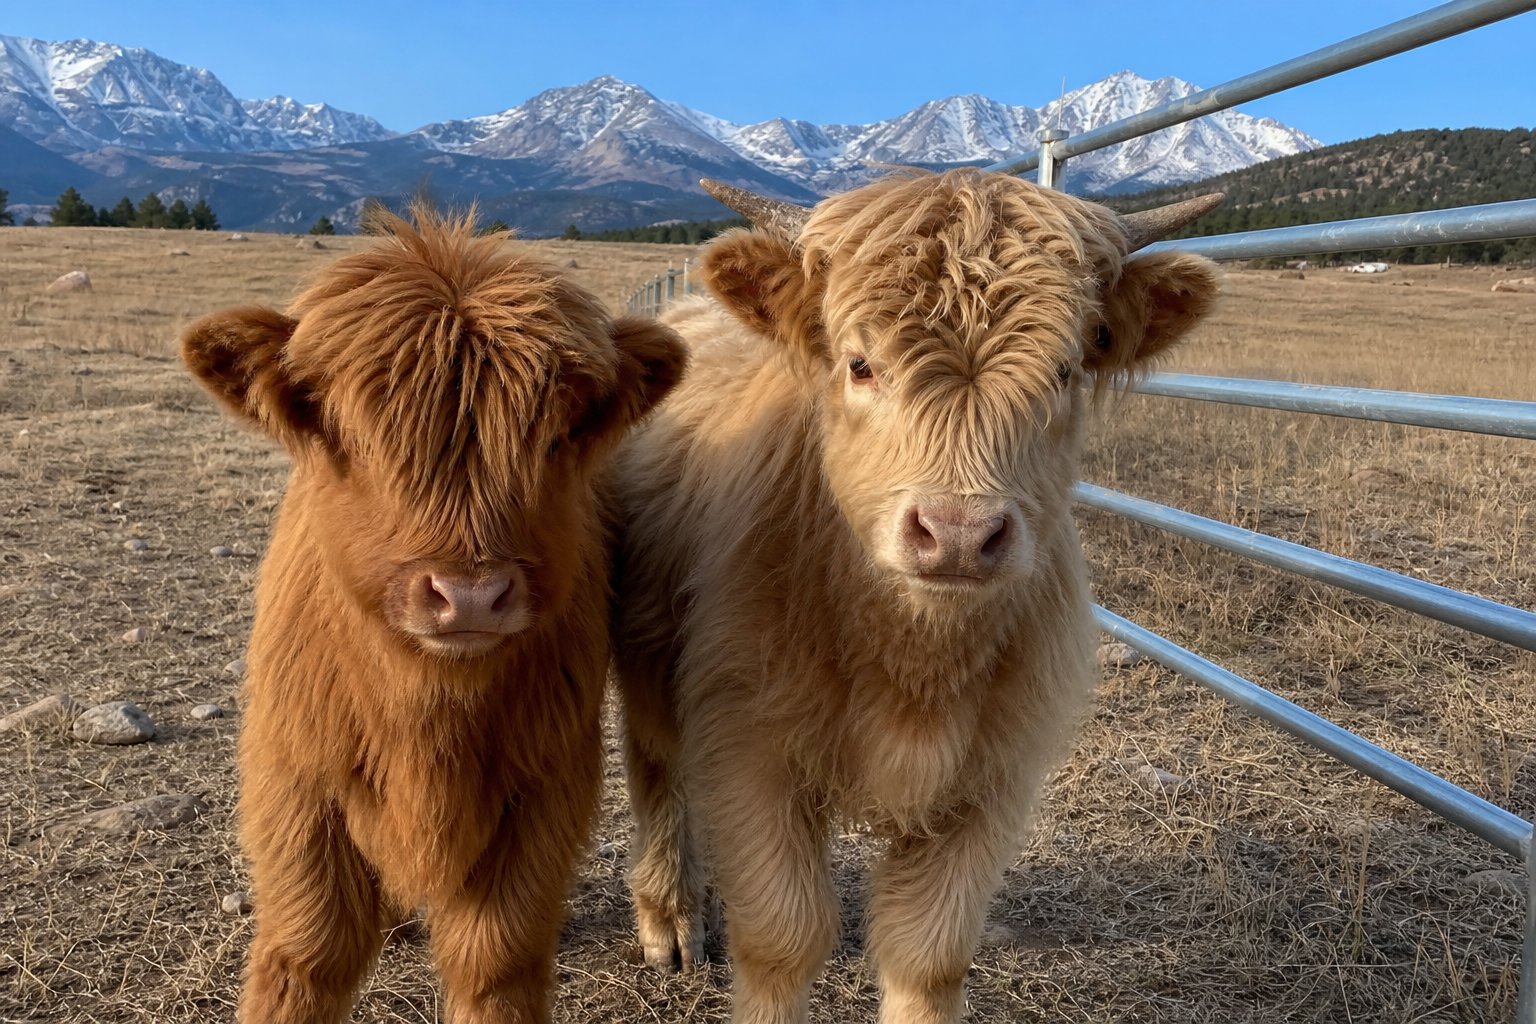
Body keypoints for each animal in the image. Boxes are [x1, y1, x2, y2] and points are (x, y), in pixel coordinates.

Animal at [180, 206, 686, 1024]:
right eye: (350, 437)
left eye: (555, 437)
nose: (471, 594)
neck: (427, 716)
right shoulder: (295, 785)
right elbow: (306, 955)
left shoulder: (545, 787)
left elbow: (497, 962)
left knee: (661, 764)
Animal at [609, 169, 1223, 1024]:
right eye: (861, 364)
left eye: (1065, 369)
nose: (959, 533)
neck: (913, 663)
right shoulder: (750, 741)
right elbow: (782, 937)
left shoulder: (993, 777)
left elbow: (928, 955)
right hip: (644, 645)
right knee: (659, 768)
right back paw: (669, 915)